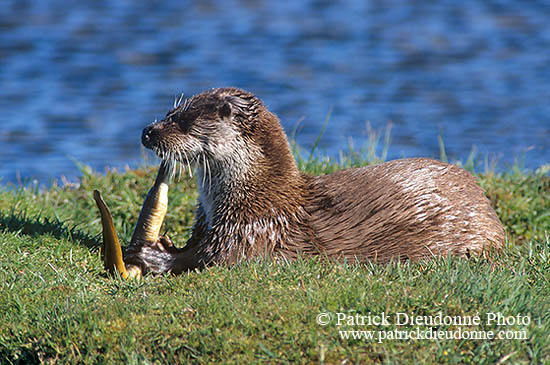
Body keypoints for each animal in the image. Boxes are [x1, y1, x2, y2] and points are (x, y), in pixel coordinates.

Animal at [119, 87, 504, 272]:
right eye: (170, 111)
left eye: (183, 123)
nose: (148, 132)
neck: (256, 197)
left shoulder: (252, 232)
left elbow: (211, 261)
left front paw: (150, 255)